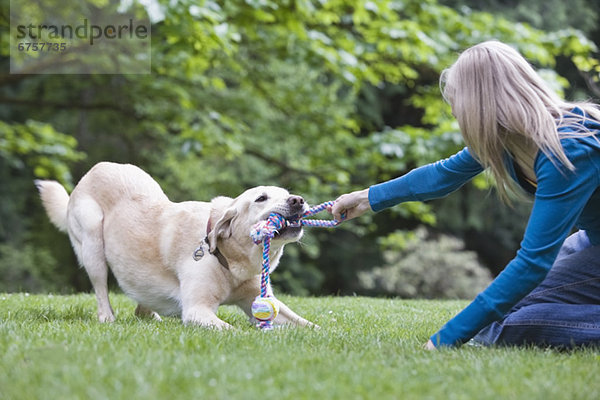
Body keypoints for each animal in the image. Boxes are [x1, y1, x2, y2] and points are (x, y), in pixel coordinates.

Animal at [34, 162, 314, 328]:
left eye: (286, 193)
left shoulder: (260, 299)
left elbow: (307, 324)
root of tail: (93, 170)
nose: (298, 200)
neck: (229, 259)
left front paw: (321, 335)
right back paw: (108, 318)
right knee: (101, 290)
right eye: (261, 198)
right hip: (93, 243)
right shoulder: (196, 309)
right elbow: (232, 330)